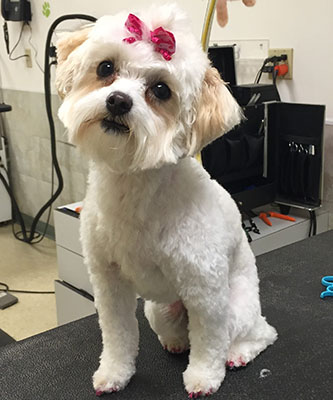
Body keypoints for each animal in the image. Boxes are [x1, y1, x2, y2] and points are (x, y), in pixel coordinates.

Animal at [55, 4, 276, 398]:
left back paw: (239, 353)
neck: (134, 185)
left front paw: (203, 378)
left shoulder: (205, 289)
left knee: (256, 333)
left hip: (236, 308)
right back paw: (175, 342)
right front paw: (115, 372)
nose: (118, 101)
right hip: (159, 310)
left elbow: (209, 343)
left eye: (160, 89)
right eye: (106, 68)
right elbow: (117, 334)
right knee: (179, 331)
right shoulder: (108, 283)